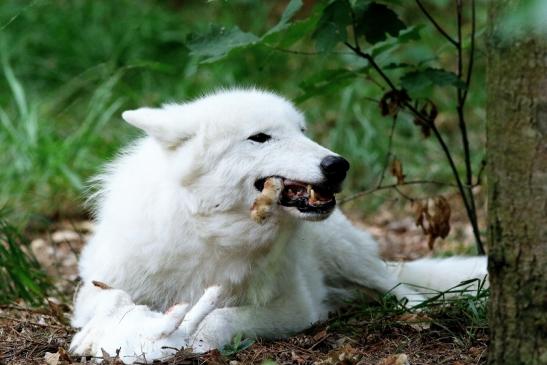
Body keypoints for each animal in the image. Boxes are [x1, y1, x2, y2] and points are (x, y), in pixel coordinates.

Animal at [69, 87, 488, 362]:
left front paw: (189, 337)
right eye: (260, 138)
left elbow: (220, 316)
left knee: (403, 290)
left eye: (302, 132)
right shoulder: (96, 289)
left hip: (353, 259)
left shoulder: (295, 306)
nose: (338, 165)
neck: (211, 231)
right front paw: (101, 334)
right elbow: (110, 301)